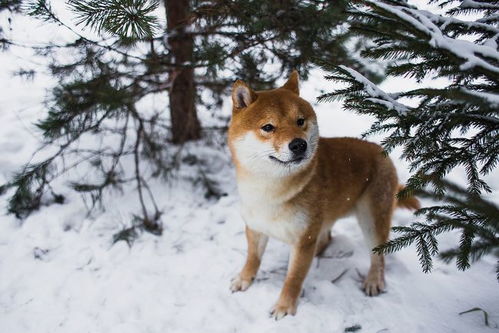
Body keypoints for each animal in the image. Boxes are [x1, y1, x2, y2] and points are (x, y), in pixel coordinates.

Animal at [229, 71, 420, 318]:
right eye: (268, 127)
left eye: (300, 121)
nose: (298, 145)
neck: (270, 191)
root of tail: (381, 150)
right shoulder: (256, 227)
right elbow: (252, 258)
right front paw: (244, 279)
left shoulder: (304, 239)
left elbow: (294, 277)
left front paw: (284, 306)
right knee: (326, 236)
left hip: (371, 220)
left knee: (378, 257)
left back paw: (373, 281)